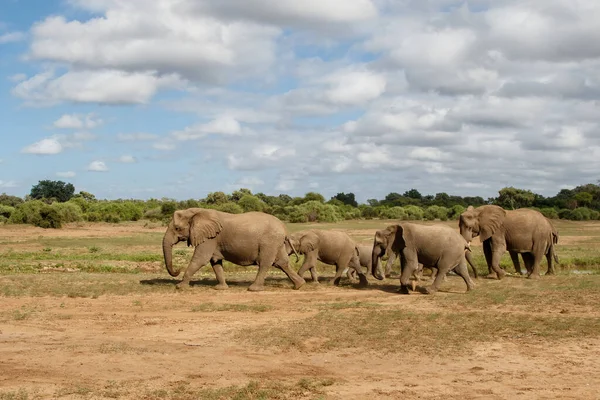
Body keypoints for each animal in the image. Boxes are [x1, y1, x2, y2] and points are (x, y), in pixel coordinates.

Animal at [162, 209, 304, 290]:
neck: (195, 212)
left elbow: (200, 259)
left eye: (177, 228)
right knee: (282, 262)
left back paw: (253, 289)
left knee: (265, 263)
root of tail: (284, 228)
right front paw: (221, 288)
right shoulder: (213, 239)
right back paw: (299, 285)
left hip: (269, 242)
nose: (177, 270)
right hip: (276, 243)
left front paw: (180, 287)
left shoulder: (210, 238)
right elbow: (215, 262)